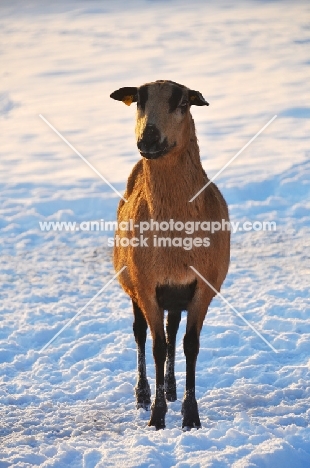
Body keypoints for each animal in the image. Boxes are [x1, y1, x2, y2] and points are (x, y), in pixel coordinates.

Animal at [110, 78, 229, 430]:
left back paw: (173, 388)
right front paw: (157, 416)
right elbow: (157, 347)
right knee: (140, 334)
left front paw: (190, 416)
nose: (148, 139)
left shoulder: (201, 286)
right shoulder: (147, 285)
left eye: (183, 103)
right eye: (139, 100)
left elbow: (190, 345)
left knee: (173, 330)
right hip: (134, 285)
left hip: (175, 296)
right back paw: (143, 394)